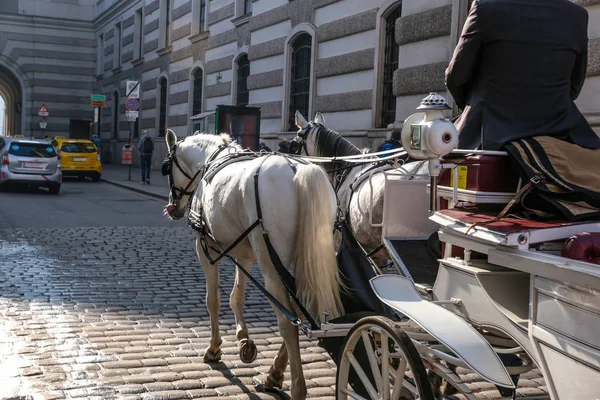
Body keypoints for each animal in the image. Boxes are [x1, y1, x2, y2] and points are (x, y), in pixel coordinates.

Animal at [162, 130, 344, 398]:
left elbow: (213, 300)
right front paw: (243, 339)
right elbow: (236, 297)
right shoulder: (244, 255)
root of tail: (298, 169)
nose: (173, 208)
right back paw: (275, 372)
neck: (211, 160)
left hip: (271, 267)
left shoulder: (206, 249)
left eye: (166, 167)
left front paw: (214, 348)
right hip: (306, 261)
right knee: (301, 310)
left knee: (287, 321)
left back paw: (295, 386)